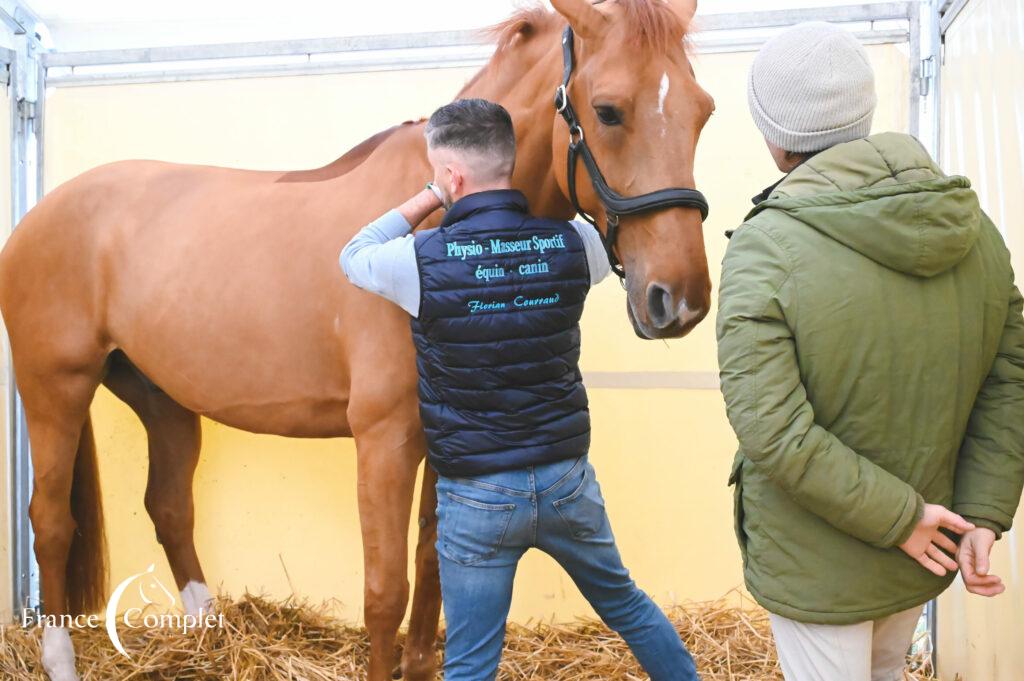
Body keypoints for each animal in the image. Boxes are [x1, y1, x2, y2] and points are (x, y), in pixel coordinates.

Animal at [0, 1, 712, 679]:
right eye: (608, 110)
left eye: (703, 112)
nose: (678, 298)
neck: (436, 225)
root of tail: (40, 215)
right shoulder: (384, 440)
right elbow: (385, 592)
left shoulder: (444, 443)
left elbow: (432, 570)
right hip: (55, 389)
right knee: (52, 521)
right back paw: (59, 659)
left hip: (164, 398)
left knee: (169, 507)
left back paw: (209, 634)